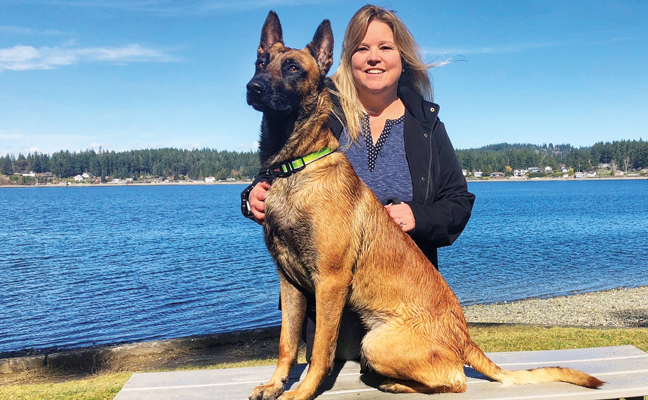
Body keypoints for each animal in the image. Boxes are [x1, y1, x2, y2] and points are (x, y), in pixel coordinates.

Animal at [244, 10, 604, 398]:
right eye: (261, 62)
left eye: (293, 68)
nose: (253, 88)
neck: (294, 166)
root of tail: (465, 338)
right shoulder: (290, 284)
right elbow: (286, 343)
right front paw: (275, 384)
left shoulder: (330, 281)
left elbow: (320, 351)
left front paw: (302, 391)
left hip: (376, 342)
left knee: (455, 379)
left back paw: (395, 382)